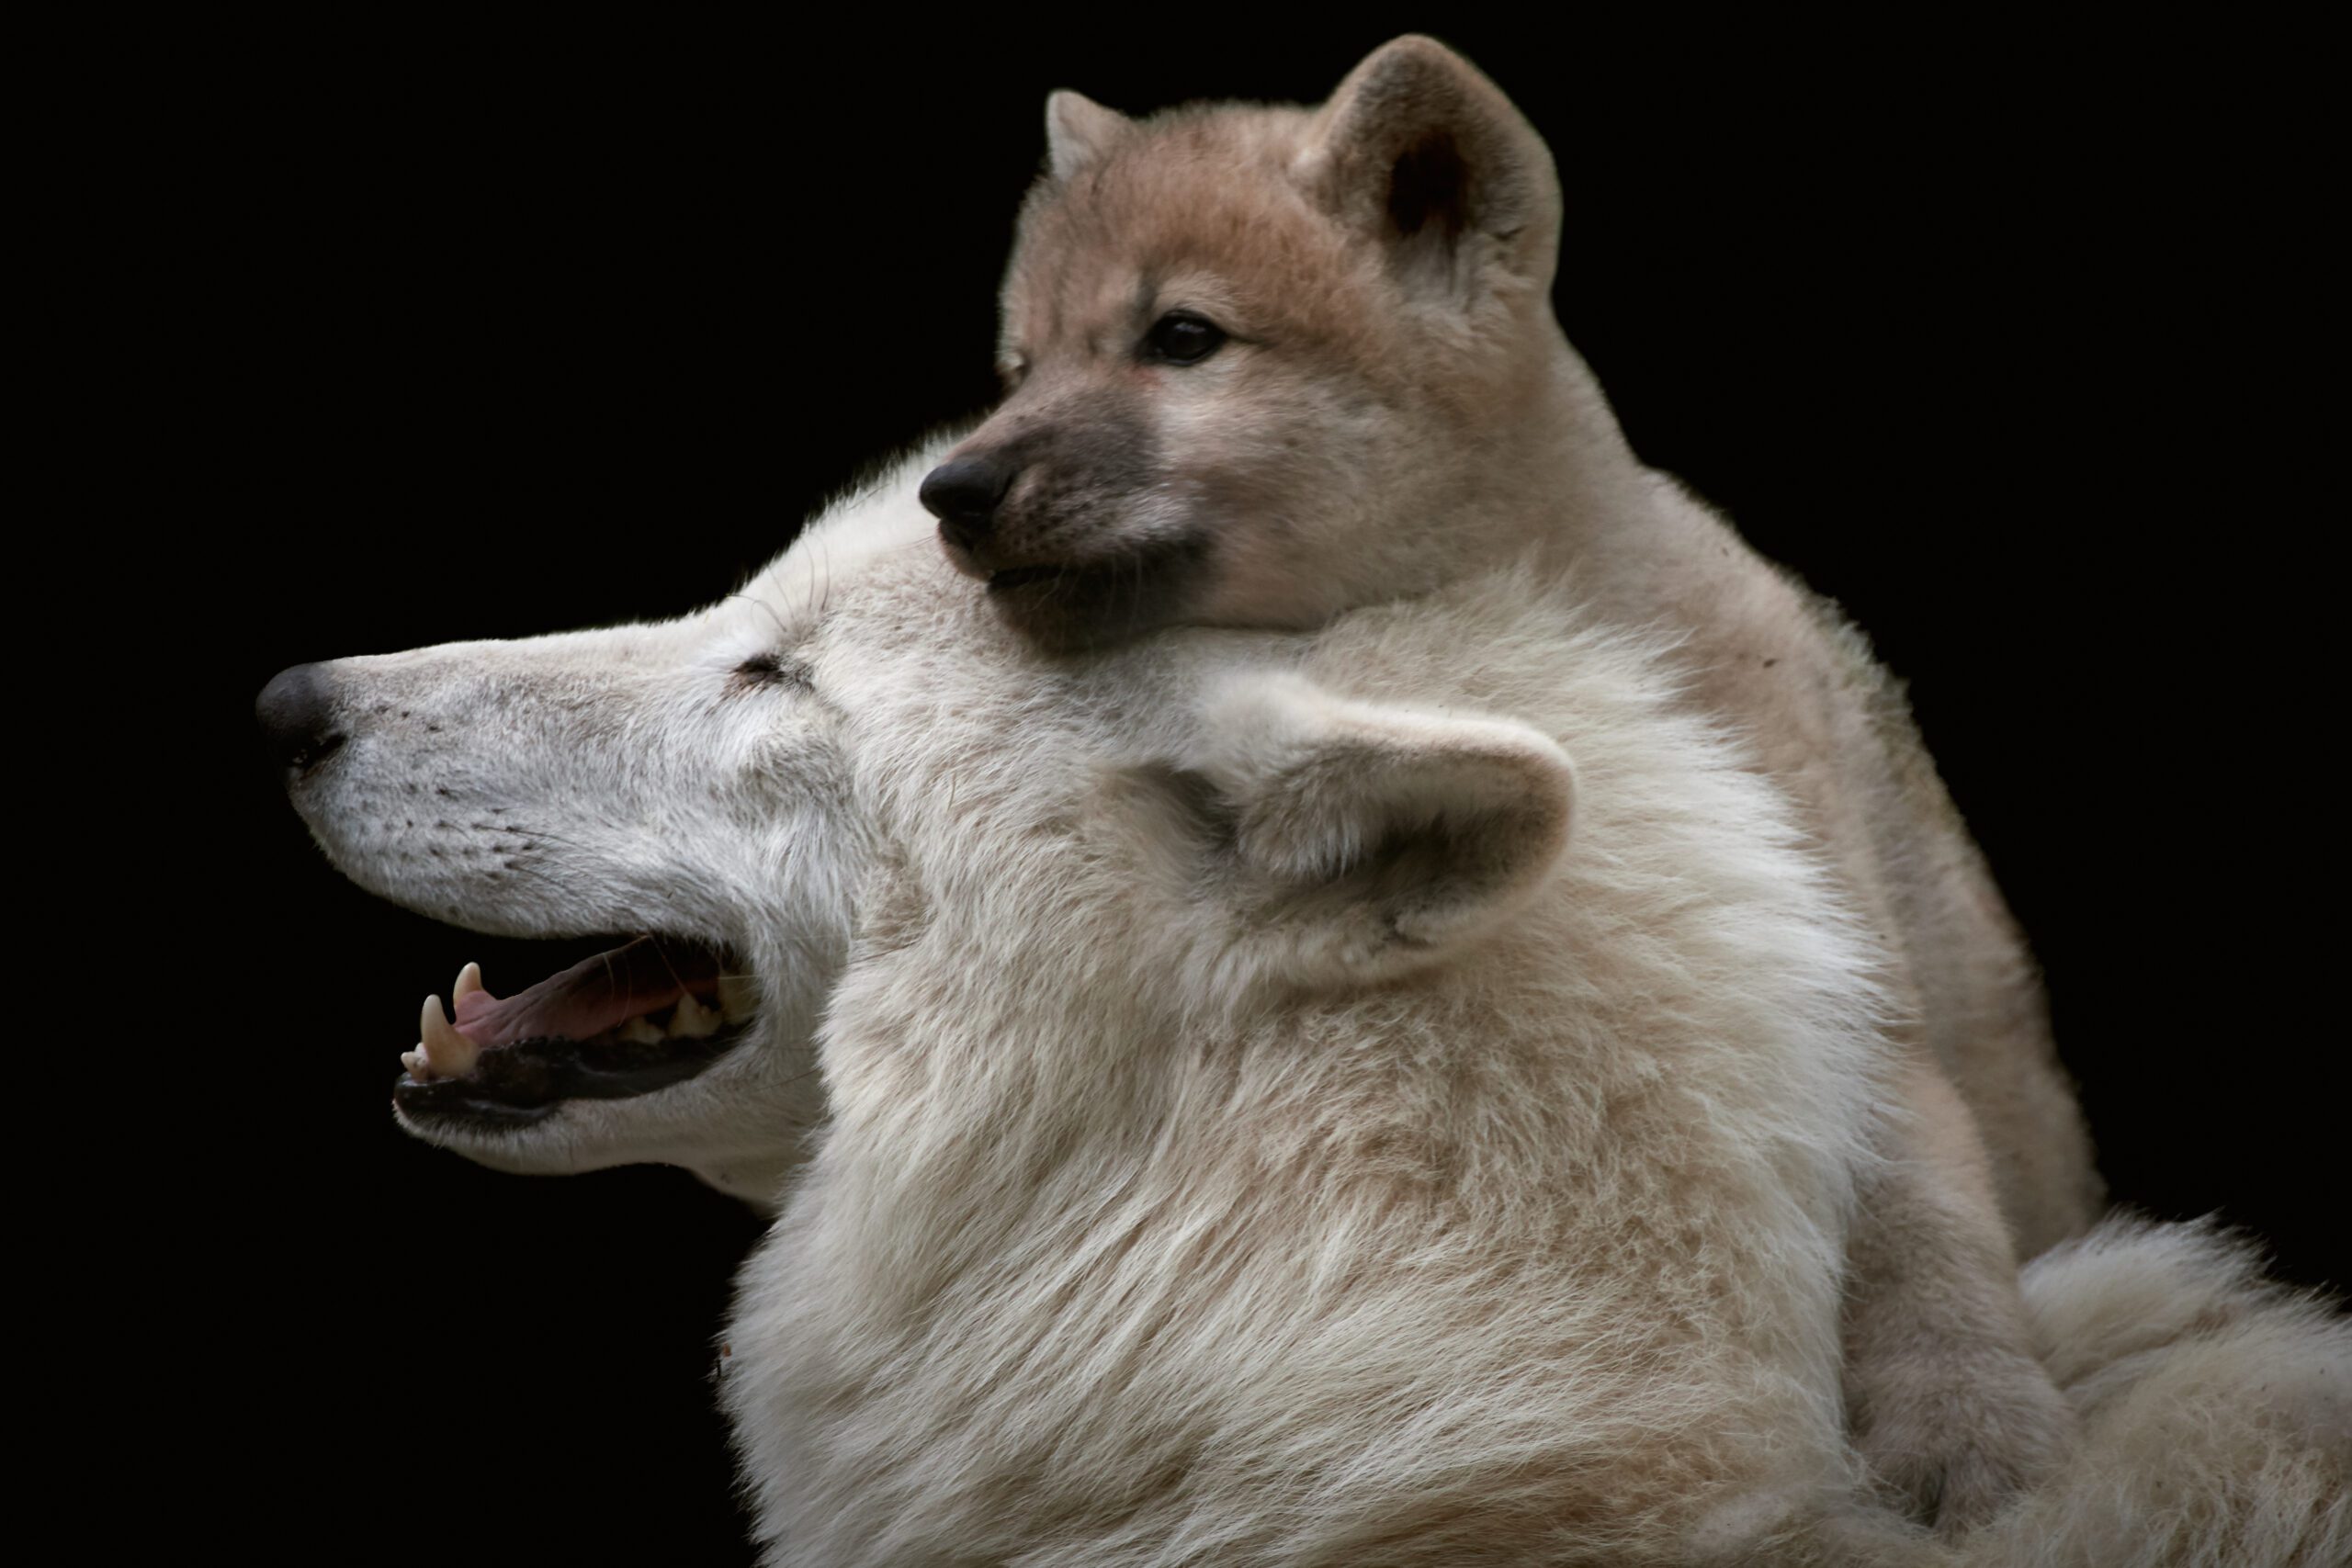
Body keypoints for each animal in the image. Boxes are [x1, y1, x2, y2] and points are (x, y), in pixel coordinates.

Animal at [913, 35, 2103, 1528]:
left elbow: (1919, 1225)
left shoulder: (1851, 989)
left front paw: (1970, 1432)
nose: (951, 488)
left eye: (1180, 338)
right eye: (1020, 364)